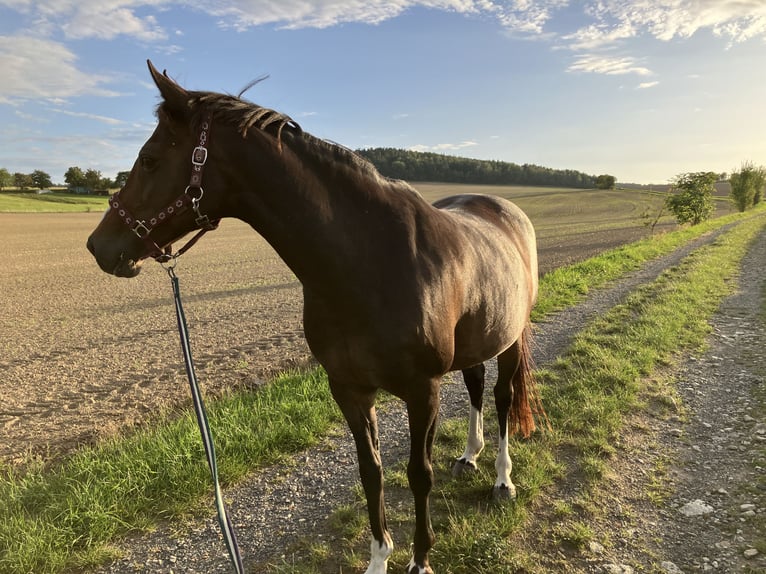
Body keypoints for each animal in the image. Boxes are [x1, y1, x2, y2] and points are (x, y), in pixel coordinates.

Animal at [87, 60, 544, 574]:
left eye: (148, 159)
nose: (99, 246)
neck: (370, 261)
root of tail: (506, 210)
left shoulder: (422, 390)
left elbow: (418, 474)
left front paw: (421, 559)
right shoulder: (348, 388)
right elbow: (372, 473)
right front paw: (379, 558)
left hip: (511, 338)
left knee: (503, 398)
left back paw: (503, 479)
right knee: (476, 386)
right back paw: (469, 454)